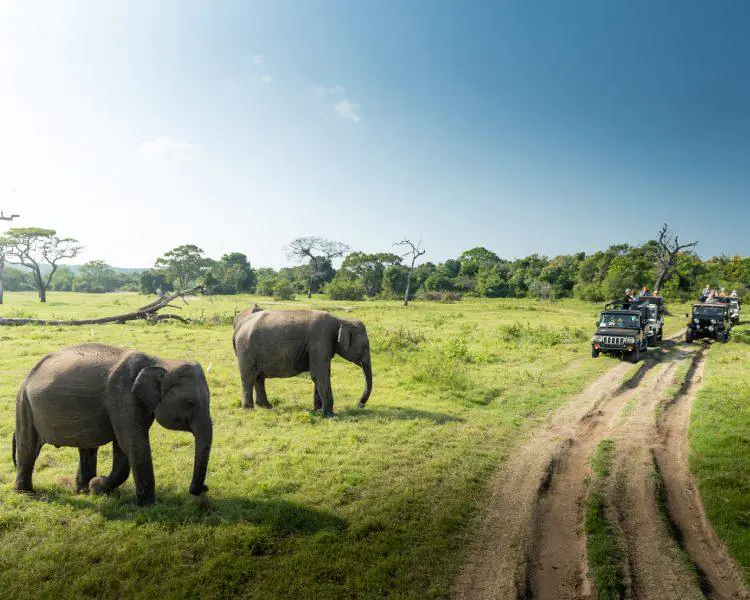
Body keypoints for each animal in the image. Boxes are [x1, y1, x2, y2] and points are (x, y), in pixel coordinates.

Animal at [12, 343, 213, 506]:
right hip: (24, 404)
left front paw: (97, 486)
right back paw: (26, 494)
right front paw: (147, 506)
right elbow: (132, 444)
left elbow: (123, 446)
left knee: (87, 447)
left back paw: (83, 490)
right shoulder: (122, 397)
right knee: (28, 447)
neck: (158, 361)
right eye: (189, 403)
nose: (204, 488)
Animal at [232, 309, 372, 417]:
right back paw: (249, 409)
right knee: (248, 377)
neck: (341, 320)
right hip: (246, 349)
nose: (360, 405)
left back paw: (266, 406)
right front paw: (330, 415)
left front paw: (317, 410)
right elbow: (319, 374)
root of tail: (238, 327)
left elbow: (321, 374)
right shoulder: (320, 340)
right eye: (365, 347)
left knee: (259, 377)